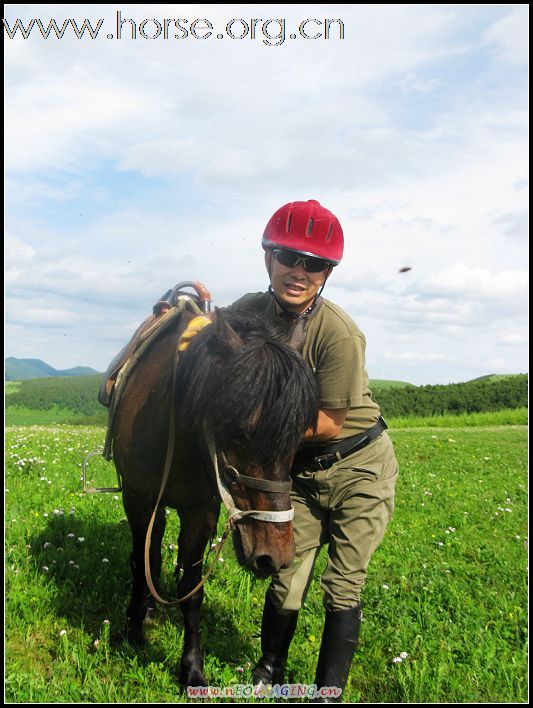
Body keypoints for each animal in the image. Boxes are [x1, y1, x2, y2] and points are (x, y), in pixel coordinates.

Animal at [109, 304, 316, 684]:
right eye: (237, 434)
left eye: (298, 436)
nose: (276, 556)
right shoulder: (137, 499)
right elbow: (139, 564)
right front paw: (132, 628)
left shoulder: (200, 510)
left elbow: (192, 590)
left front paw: (191, 668)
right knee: (151, 552)